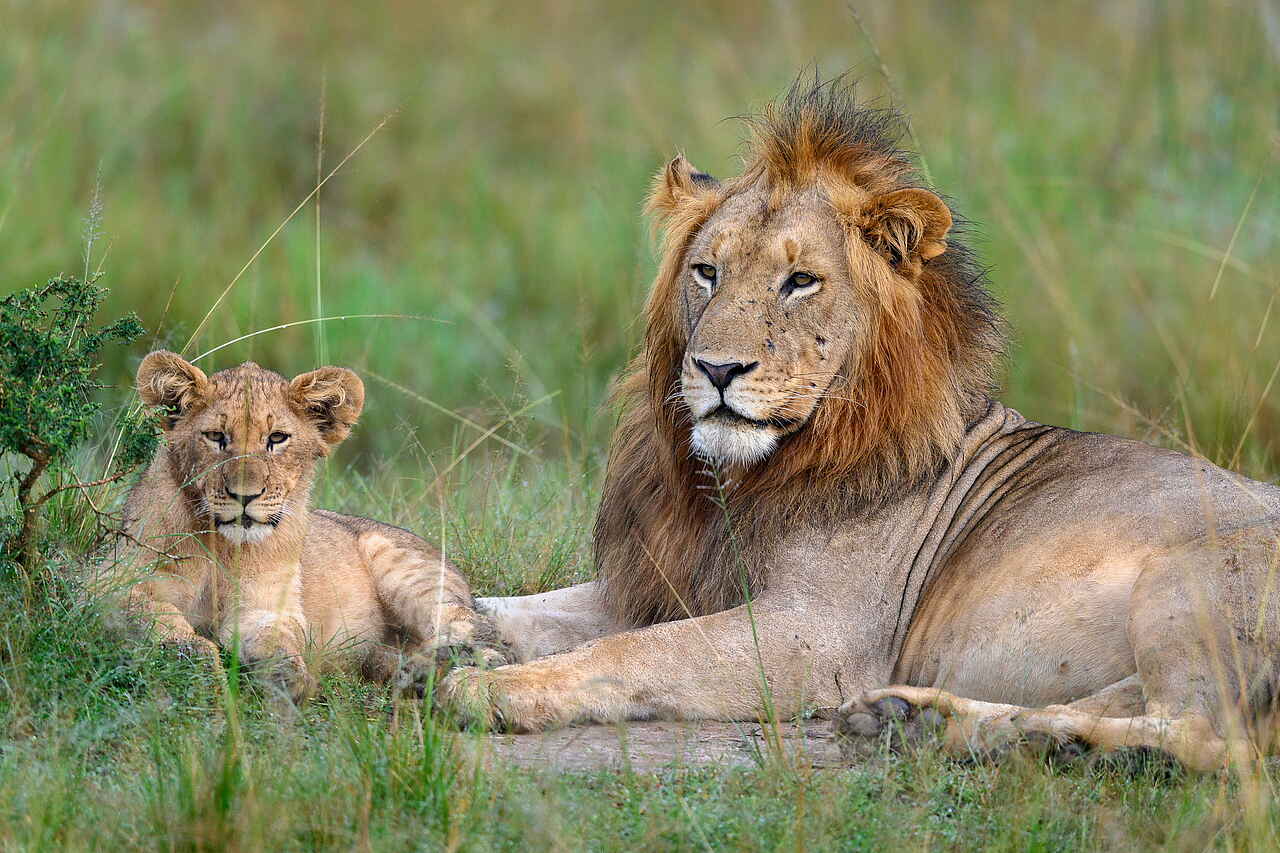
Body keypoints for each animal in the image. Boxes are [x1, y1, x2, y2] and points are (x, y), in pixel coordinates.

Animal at [113, 351, 503, 701]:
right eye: (215, 436)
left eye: (276, 438)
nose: (244, 495)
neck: (222, 544)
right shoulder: (115, 585)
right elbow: (160, 622)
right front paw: (200, 667)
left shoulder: (266, 604)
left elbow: (277, 638)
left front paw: (287, 677)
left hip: (407, 570)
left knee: (476, 627)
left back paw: (447, 662)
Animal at [440, 78, 1280, 771]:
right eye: (707, 271)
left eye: (800, 280)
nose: (716, 369)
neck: (737, 481)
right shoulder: (653, 583)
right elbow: (509, 606)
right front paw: (441, 633)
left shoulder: (818, 634)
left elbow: (637, 651)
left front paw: (491, 689)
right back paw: (930, 723)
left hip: (1196, 582)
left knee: (1210, 737)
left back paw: (1049, 742)